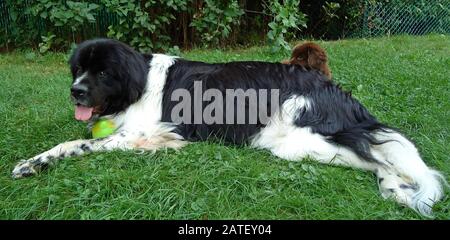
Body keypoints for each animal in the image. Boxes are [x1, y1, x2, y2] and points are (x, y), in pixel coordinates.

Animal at [12, 39, 444, 216]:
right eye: (78, 69)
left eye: (102, 72)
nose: (76, 92)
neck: (136, 82)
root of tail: (331, 88)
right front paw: (32, 163)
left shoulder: (142, 132)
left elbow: (77, 143)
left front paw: (36, 161)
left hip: (305, 139)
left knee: (381, 161)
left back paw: (397, 191)